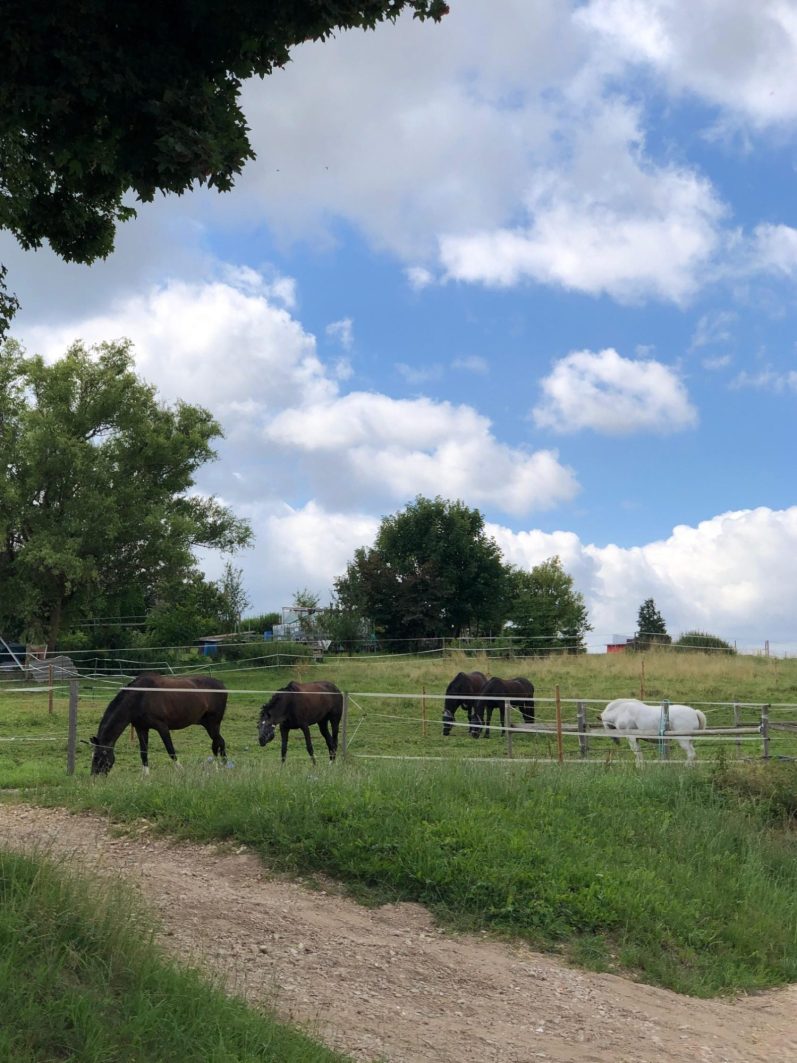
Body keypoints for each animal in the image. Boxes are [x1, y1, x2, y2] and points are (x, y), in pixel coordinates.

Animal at [89, 673, 228, 775]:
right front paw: (146, 775)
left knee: (218, 743)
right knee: (218, 743)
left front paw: (181, 770)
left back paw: (221, 768)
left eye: (96, 757)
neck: (140, 696)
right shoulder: (141, 728)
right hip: (208, 724)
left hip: (213, 724)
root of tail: (222, 686)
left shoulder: (162, 727)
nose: (94, 777)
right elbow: (143, 752)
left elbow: (170, 750)